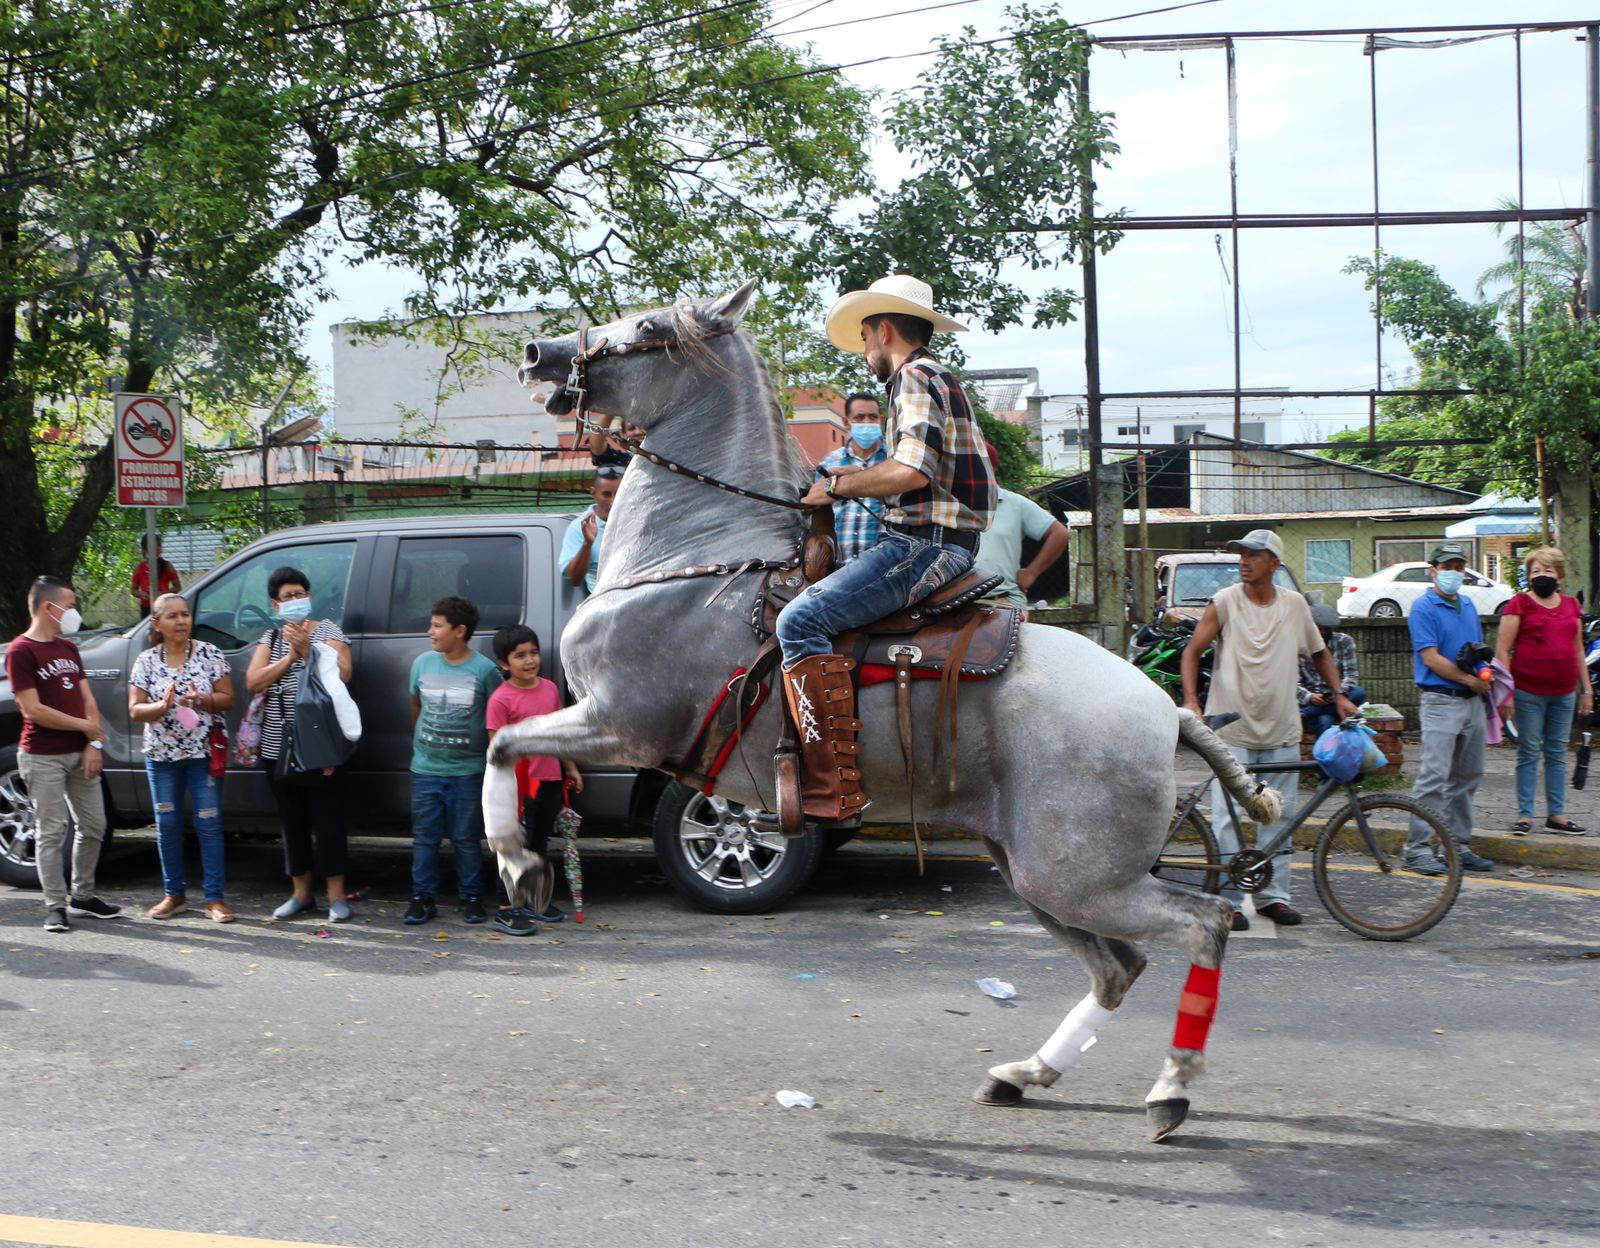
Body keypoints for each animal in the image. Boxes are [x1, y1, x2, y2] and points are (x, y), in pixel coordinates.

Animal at [480, 283, 1280, 1139]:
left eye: (649, 328)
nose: (538, 354)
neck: (700, 562)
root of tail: (1167, 712)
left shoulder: (622, 724)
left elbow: (502, 744)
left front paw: (520, 865)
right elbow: (506, 746)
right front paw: (524, 866)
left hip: (1082, 875)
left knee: (1205, 923)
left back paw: (1171, 1088)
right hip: (1040, 871)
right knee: (1119, 968)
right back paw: (1022, 1074)